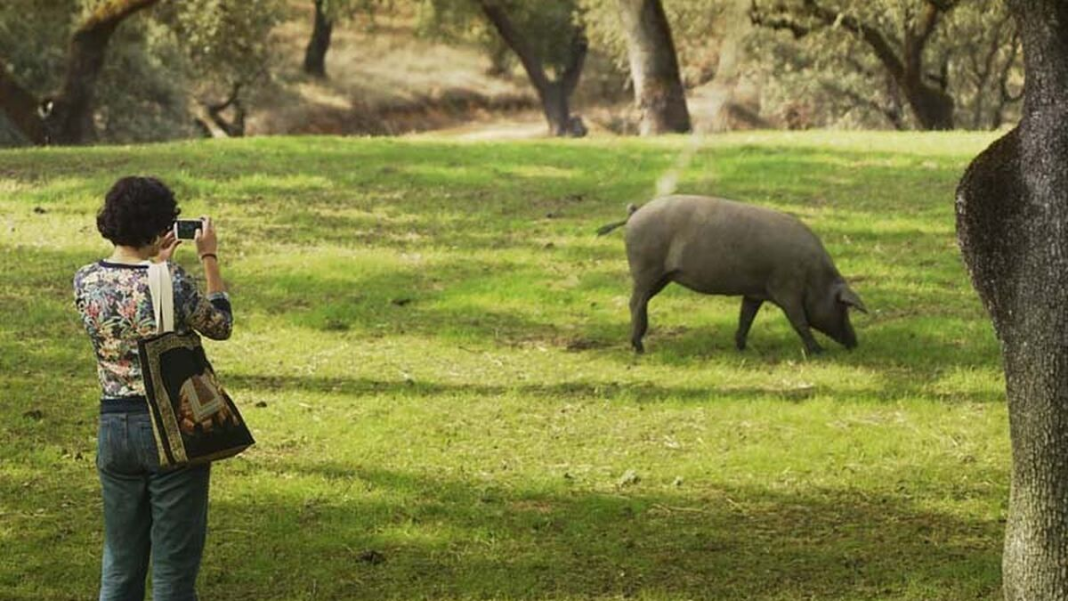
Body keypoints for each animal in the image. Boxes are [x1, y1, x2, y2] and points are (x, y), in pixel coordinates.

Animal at [602, 195, 867, 354]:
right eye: (843, 306)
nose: (855, 343)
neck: (814, 277)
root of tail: (636, 212)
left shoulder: (755, 292)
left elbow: (745, 318)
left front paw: (741, 347)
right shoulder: (786, 289)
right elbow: (799, 321)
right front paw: (818, 351)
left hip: (659, 276)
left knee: (641, 302)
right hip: (646, 269)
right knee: (635, 302)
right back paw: (638, 347)